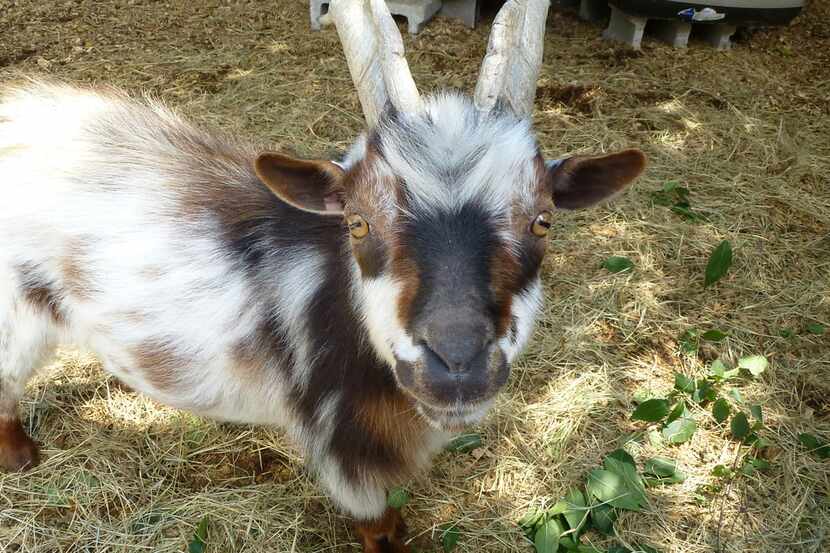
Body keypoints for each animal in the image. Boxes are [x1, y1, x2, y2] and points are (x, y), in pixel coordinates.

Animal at [0, 2, 648, 548]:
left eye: (543, 220)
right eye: (357, 223)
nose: (457, 365)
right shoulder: (346, 449)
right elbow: (379, 528)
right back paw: (20, 457)